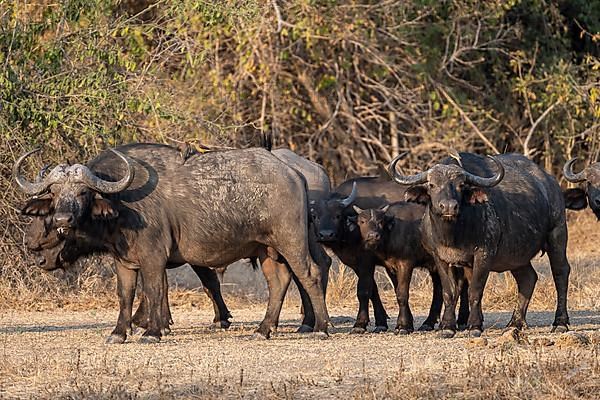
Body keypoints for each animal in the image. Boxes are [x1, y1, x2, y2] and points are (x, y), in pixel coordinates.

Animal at [16, 144, 328, 344]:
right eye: (55, 193)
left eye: (83, 192)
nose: (63, 218)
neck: (123, 204)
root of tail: (293, 173)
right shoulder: (124, 261)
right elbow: (125, 295)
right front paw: (119, 333)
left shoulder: (154, 257)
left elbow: (155, 290)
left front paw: (152, 332)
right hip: (266, 250)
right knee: (279, 281)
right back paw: (263, 329)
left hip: (292, 241)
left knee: (310, 273)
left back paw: (319, 327)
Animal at [352, 203, 468, 334]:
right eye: (362, 221)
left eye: (380, 221)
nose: (373, 236)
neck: (392, 234)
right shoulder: (391, 268)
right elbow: (397, 290)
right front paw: (407, 324)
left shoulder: (406, 264)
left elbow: (402, 294)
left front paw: (403, 326)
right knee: (440, 288)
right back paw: (429, 323)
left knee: (460, 287)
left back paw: (460, 321)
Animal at [390, 153, 572, 338]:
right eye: (432, 185)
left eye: (460, 185)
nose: (448, 206)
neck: (453, 234)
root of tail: (550, 182)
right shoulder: (440, 258)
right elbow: (449, 292)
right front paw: (447, 327)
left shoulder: (483, 255)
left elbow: (475, 291)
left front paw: (475, 326)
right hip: (517, 257)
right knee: (527, 278)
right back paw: (515, 323)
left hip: (557, 235)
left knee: (560, 273)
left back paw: (560, 323)